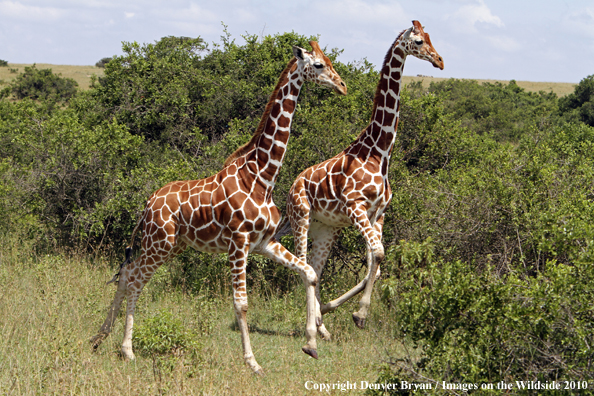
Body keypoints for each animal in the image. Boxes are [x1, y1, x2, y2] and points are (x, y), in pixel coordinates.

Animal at [89, 41, 346, 376]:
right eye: (318, 65)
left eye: (329, 61)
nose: (341, 85)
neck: (262, 176)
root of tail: (147, 203)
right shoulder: (238, 243)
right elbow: (241, 303)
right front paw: (253, 362)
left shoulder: (264, 243)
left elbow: (310, 273)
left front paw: (311, 344)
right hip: (160, 243)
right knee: (133, 280)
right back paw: (126, 349)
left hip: (170, 246)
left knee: (128, 275)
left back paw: (102, 339)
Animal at [284, 20, 442, 338]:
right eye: (419, 41)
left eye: (431, 37)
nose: (440, 61)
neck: (379, 152)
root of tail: (292, 184)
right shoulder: (356, 206)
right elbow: (378, 255)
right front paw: (358, 313)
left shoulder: (378, 213)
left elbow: (376, 263)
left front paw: (342, 311)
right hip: (301, 218)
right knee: (304, 266)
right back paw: (315, 325)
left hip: (326, 228)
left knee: (316, 268)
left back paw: (321, 325)